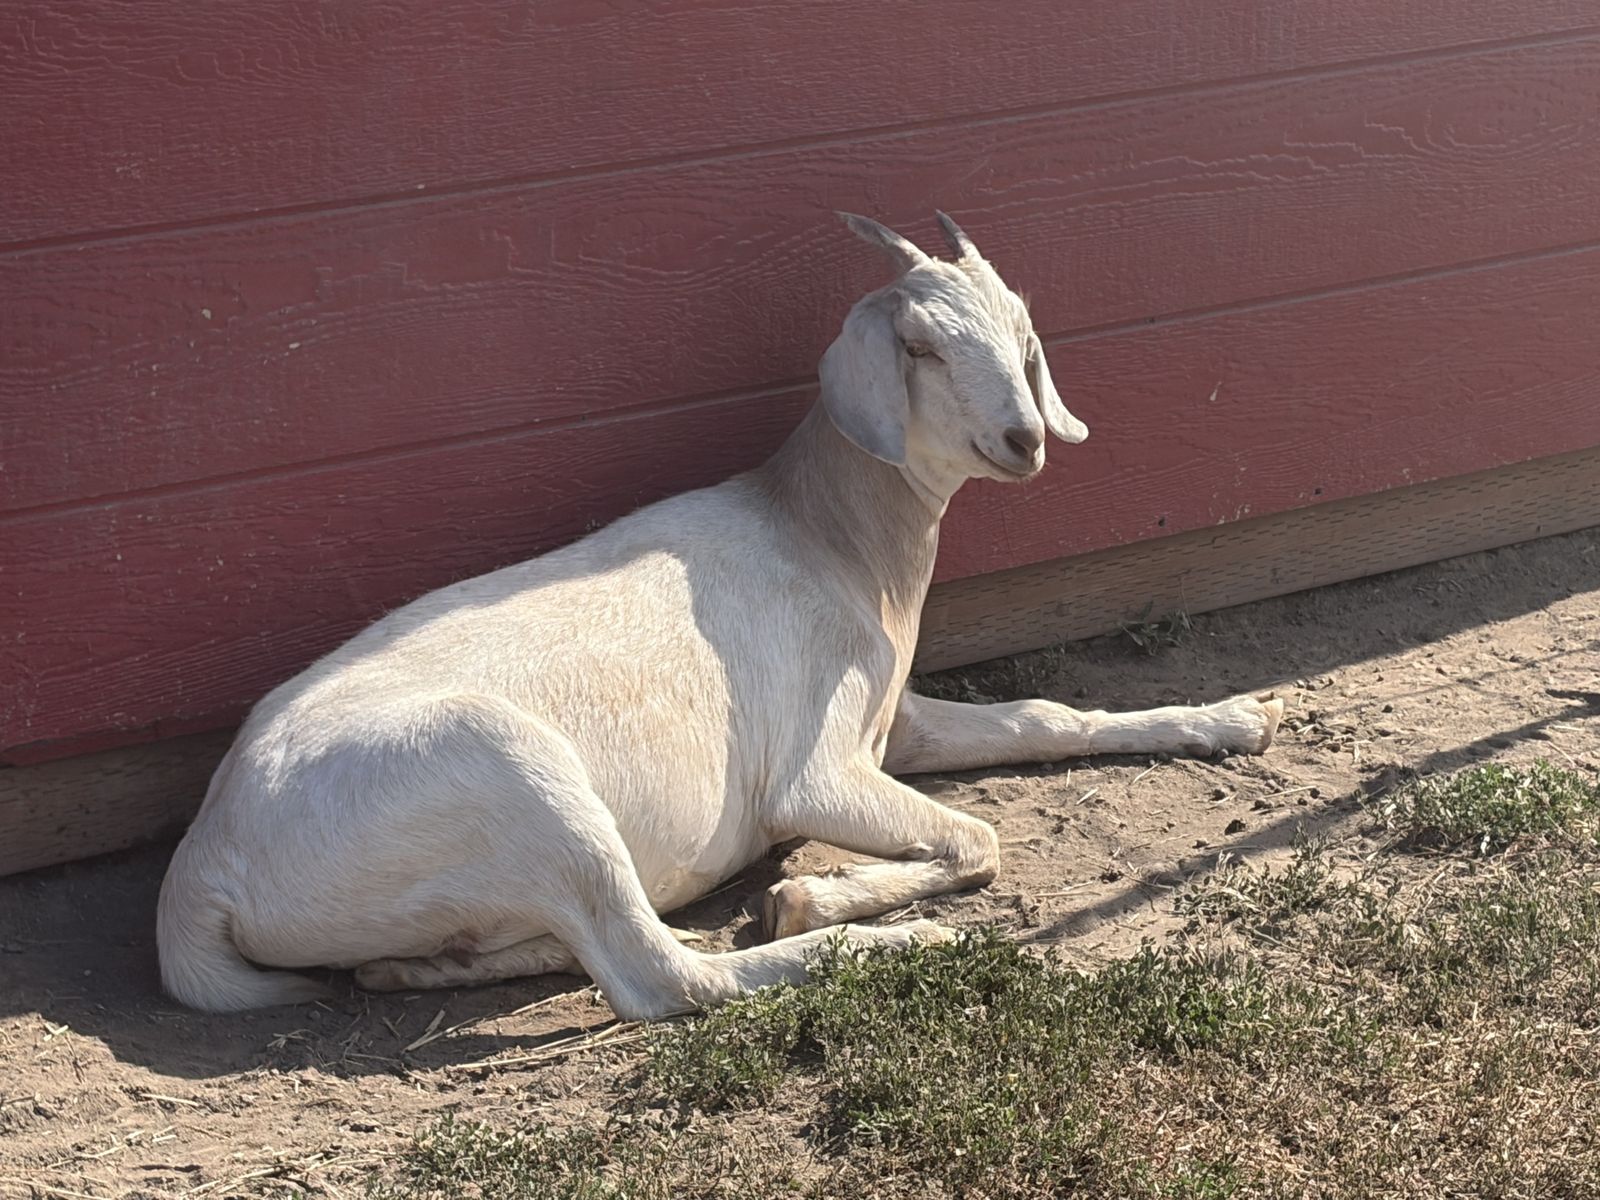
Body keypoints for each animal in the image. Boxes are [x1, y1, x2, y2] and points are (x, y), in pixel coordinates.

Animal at [158, 213, 1284, 1020]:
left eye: (1022, 334)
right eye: (918, 345)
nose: (1023, 438)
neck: (823, 533)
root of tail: (202, 874)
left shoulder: (892, 720)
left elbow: (1045, 719)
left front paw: (1233, 719)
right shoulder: (816, 771)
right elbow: (972, 837)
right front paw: (811, 897)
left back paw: (420, 970)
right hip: (509, 773)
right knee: (663, 980)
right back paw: (897, 945)